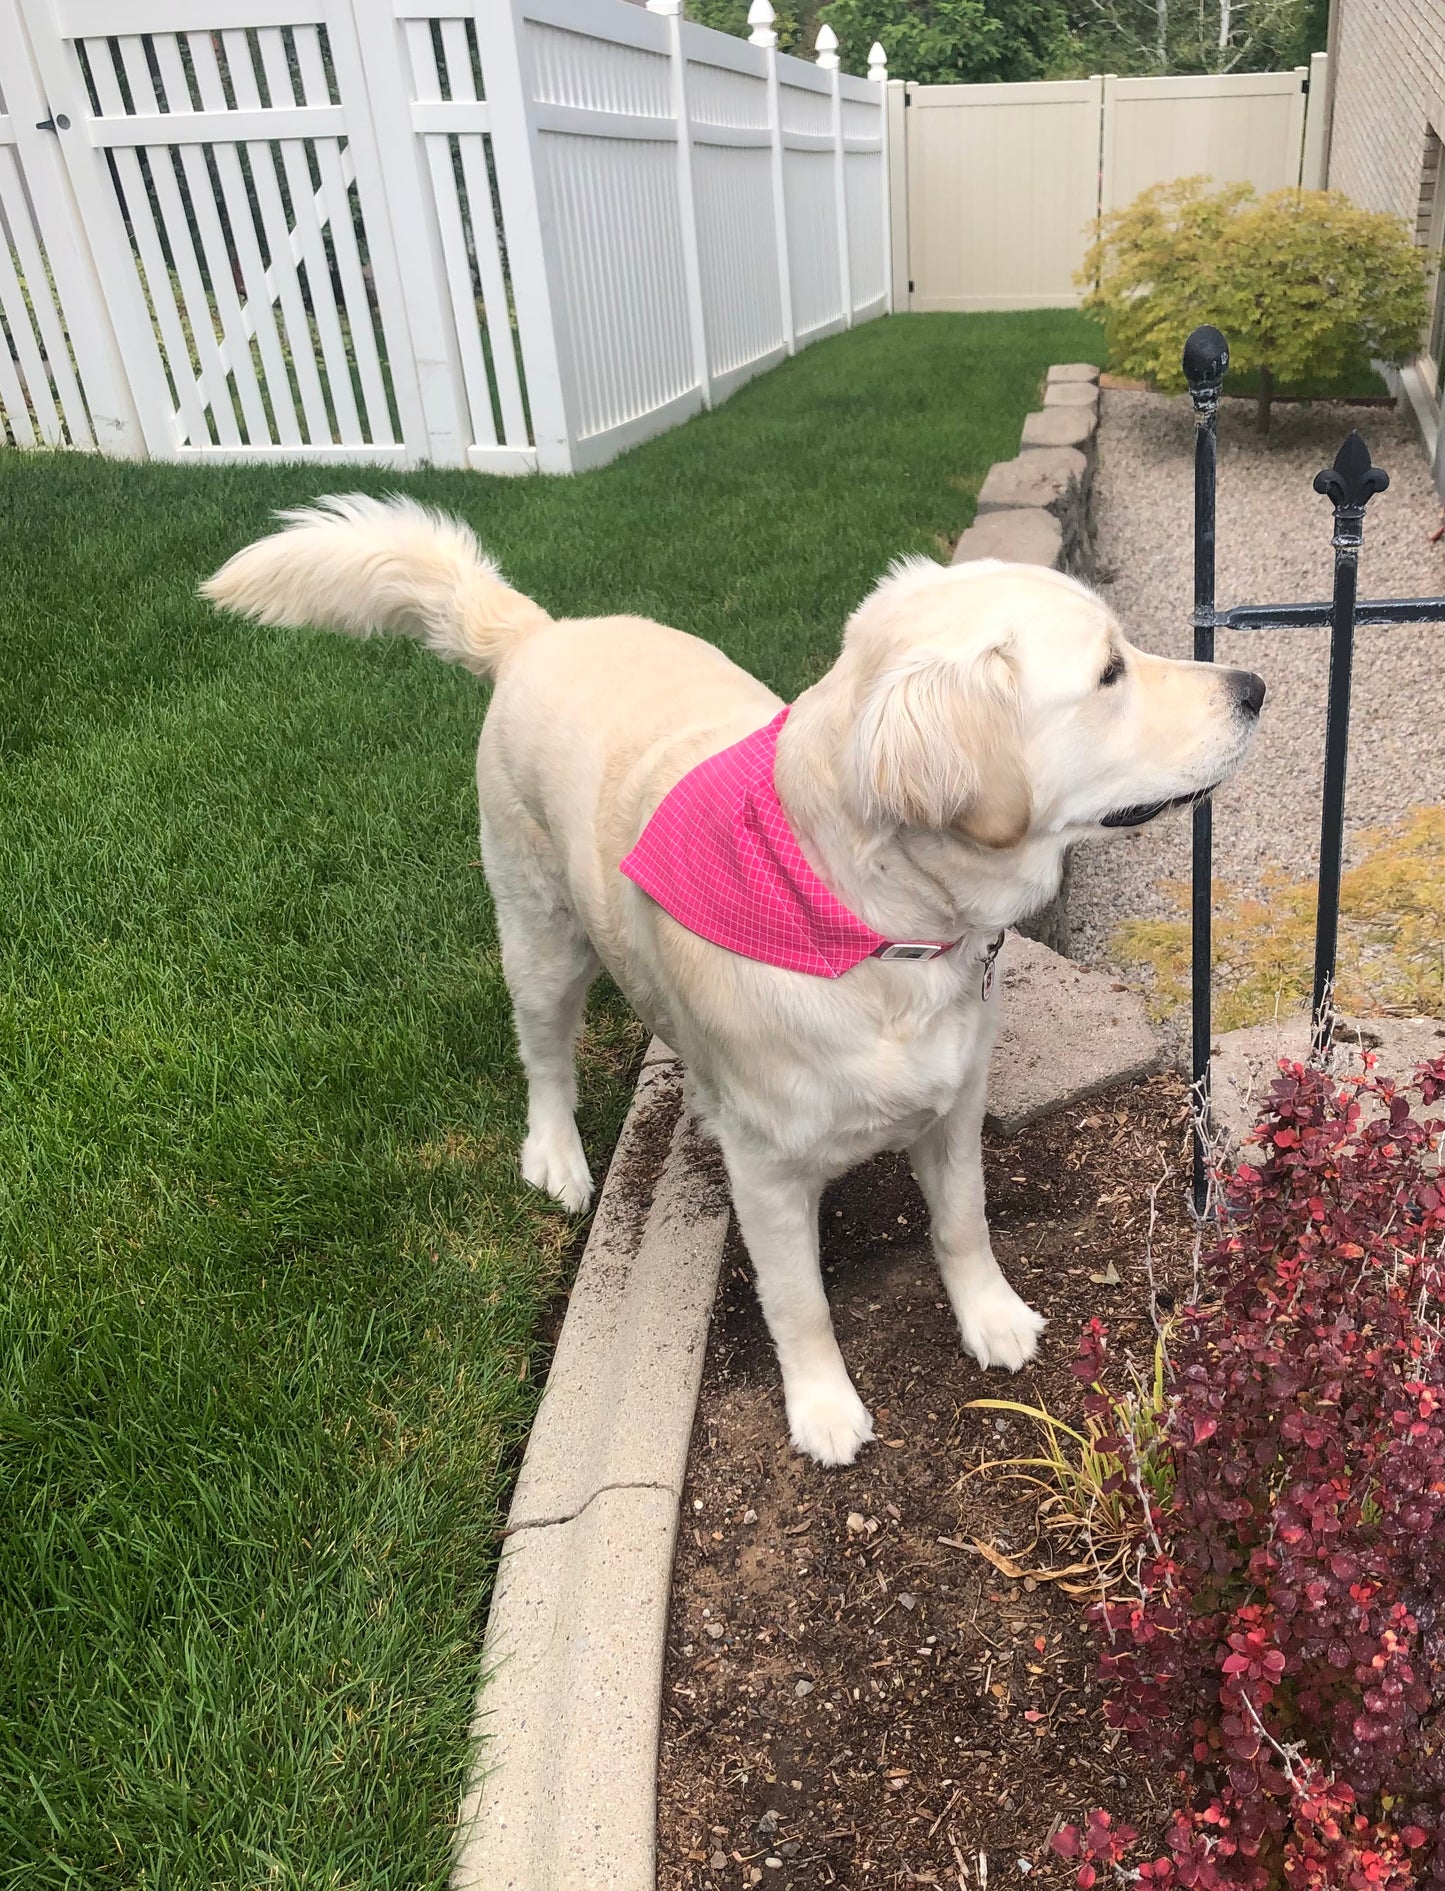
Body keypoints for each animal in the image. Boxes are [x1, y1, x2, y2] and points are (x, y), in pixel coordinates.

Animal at [206, 499, 1263, 1459]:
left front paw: (990, 1315)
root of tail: (537, 631)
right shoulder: (766, 1172)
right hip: (540, 936)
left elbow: (963, 1223)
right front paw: (824, 1410)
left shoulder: (954, 1104)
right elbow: (799, 1304)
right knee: (544, 1055)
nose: (1253, 683)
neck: (871, 929)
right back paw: (556, 1156)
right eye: (1109, 672)